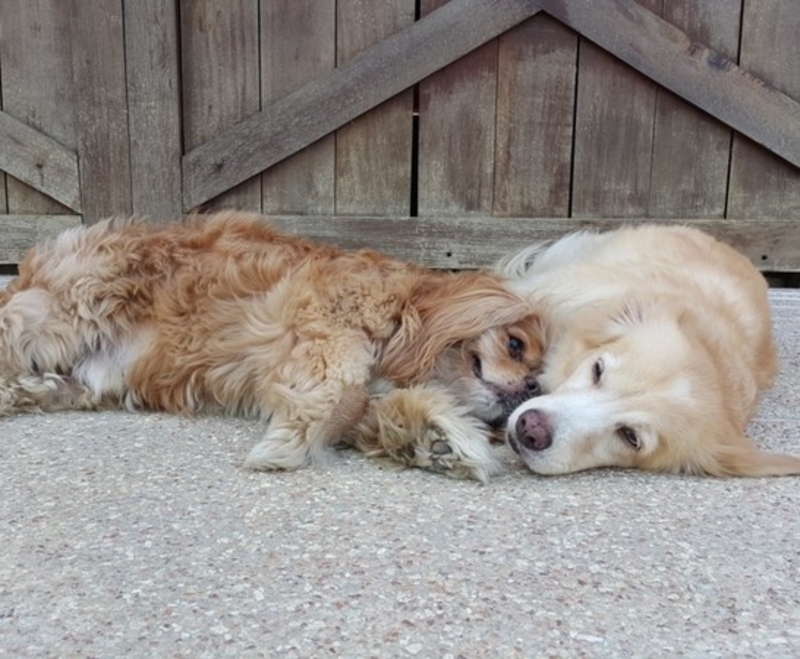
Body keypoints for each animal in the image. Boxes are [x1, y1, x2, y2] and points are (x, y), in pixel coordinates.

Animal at [0, 214, 544, 482]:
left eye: (538, 371)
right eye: (515, 344)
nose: (531, 386)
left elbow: (383, 410)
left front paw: (439, 441)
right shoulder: (325, 326)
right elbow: (345, 393)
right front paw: (287, 445)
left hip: (82, 380)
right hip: (57, 314)